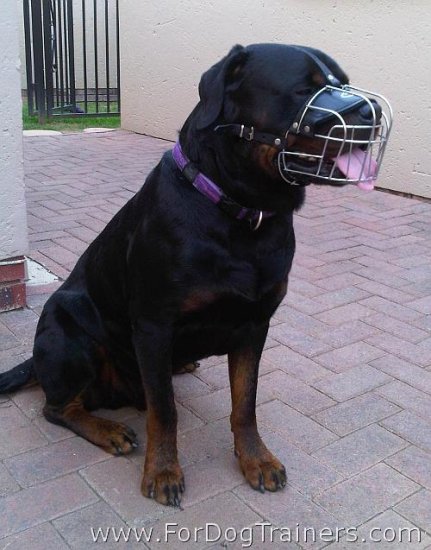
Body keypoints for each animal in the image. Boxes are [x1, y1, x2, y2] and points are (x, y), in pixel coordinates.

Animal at [1, 45, 384, 506]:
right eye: (303, 88)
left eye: (342, 81)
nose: (373, 112)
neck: (239, 213)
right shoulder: (154, 325)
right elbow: (165, 412)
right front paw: (163, 471)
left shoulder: (256, 323)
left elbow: (245, 403)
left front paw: (256, 459)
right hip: (69, 328)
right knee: (59, 407)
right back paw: (108, 430)